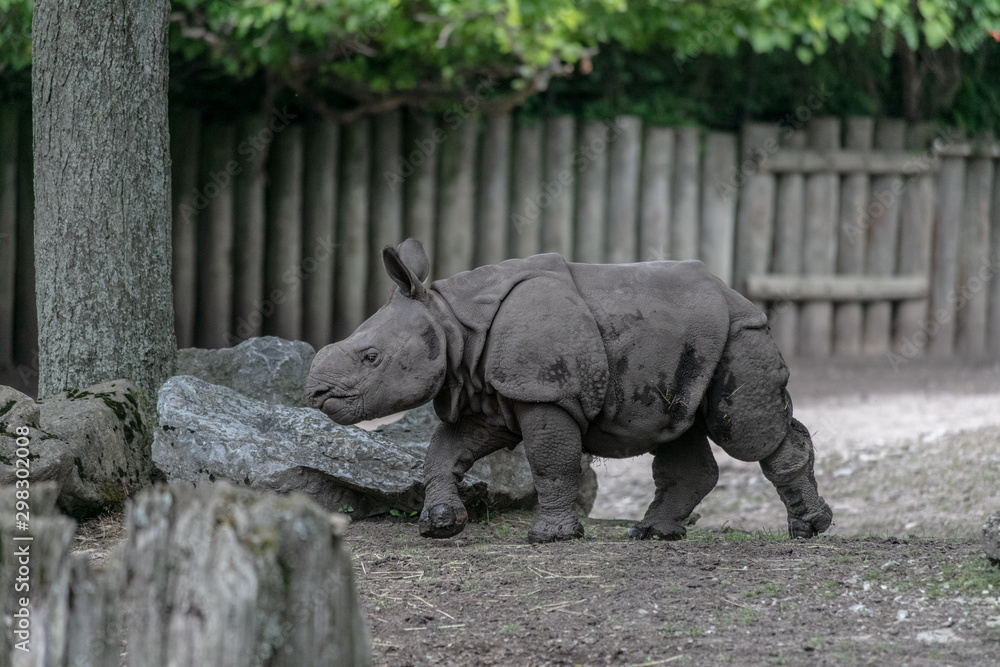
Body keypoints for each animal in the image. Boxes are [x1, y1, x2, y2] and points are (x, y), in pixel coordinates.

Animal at [306, 239, 832, 543]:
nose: (314, 393)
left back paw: (809, 530)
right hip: (692, 342)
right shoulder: (488, 394)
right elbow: (443, 453)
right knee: (679, 430)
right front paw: (439, 525)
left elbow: (550, 460)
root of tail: (738, 295)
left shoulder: (543, 390)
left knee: (744, 432)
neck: (453, 324)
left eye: (370, 357)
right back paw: (652, 534)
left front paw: (550, 537)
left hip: (739, 333)